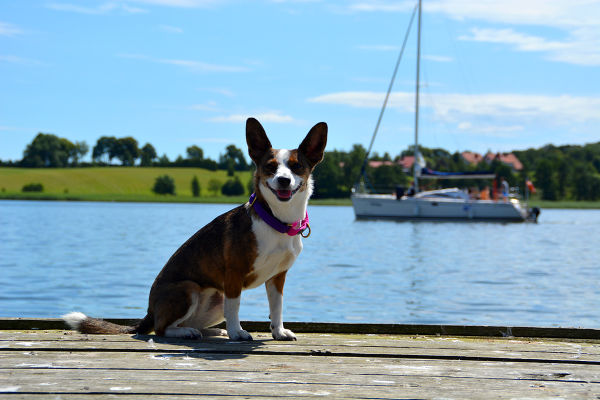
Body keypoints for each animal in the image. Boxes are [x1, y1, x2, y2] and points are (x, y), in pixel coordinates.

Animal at [64, 116, 328, 340]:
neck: (276, 220)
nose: (283, 180)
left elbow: (277, 306)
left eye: (296, 167)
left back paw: (210, 331)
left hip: (216, 298)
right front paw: (237, 332)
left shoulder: (277, 277)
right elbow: (235, 307)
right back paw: (188, 333)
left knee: (191, 323)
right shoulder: (233, 275)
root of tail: (150, 311)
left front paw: (278, 331)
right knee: (162, 328)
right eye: (270, 167)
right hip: (189, 289)